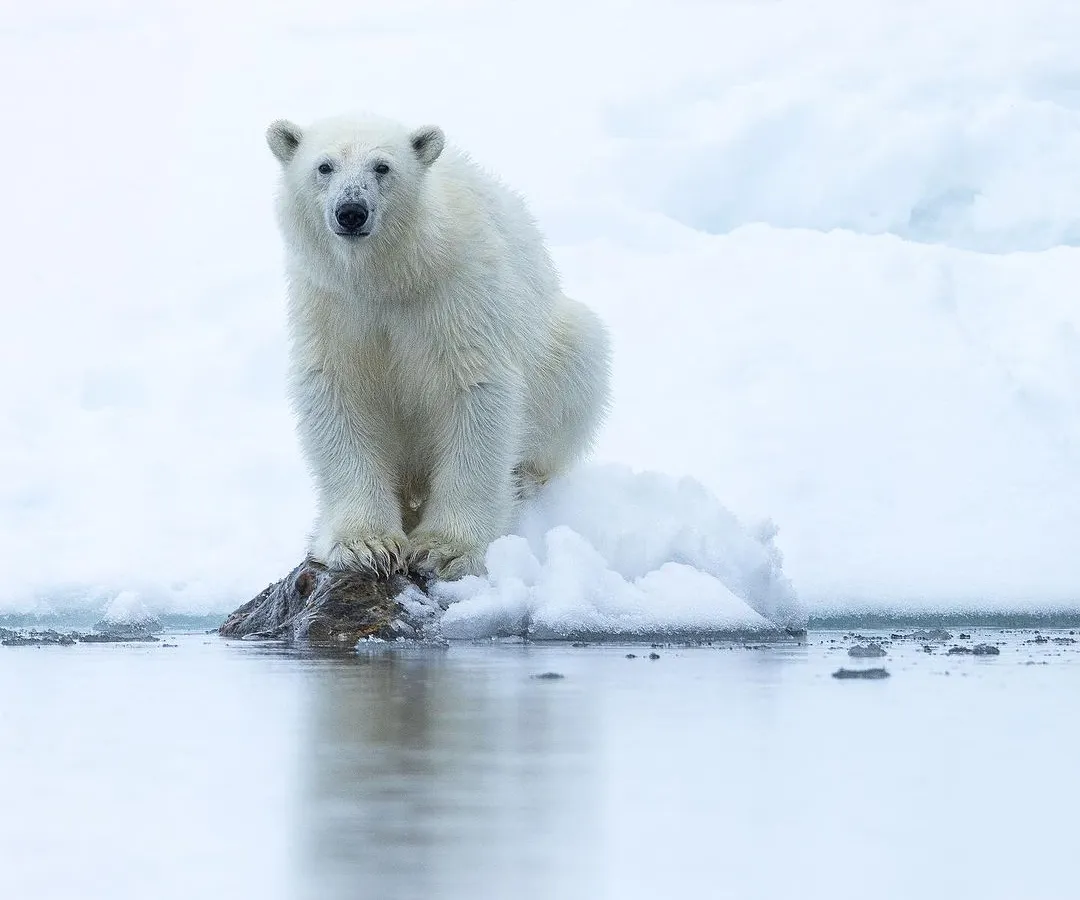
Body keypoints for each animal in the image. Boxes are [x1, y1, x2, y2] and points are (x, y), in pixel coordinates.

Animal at [266, 113, 611, 580]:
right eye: (324, 166)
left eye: (383, 167)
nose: (351, 212)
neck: (392, 275)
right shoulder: (332, 306)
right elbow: (337, 393)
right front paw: (365, 544)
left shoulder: (457, 296)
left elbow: (476, 391)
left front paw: (443, 549)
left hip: (558, 346)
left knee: (580, 351)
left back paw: (523, 480)